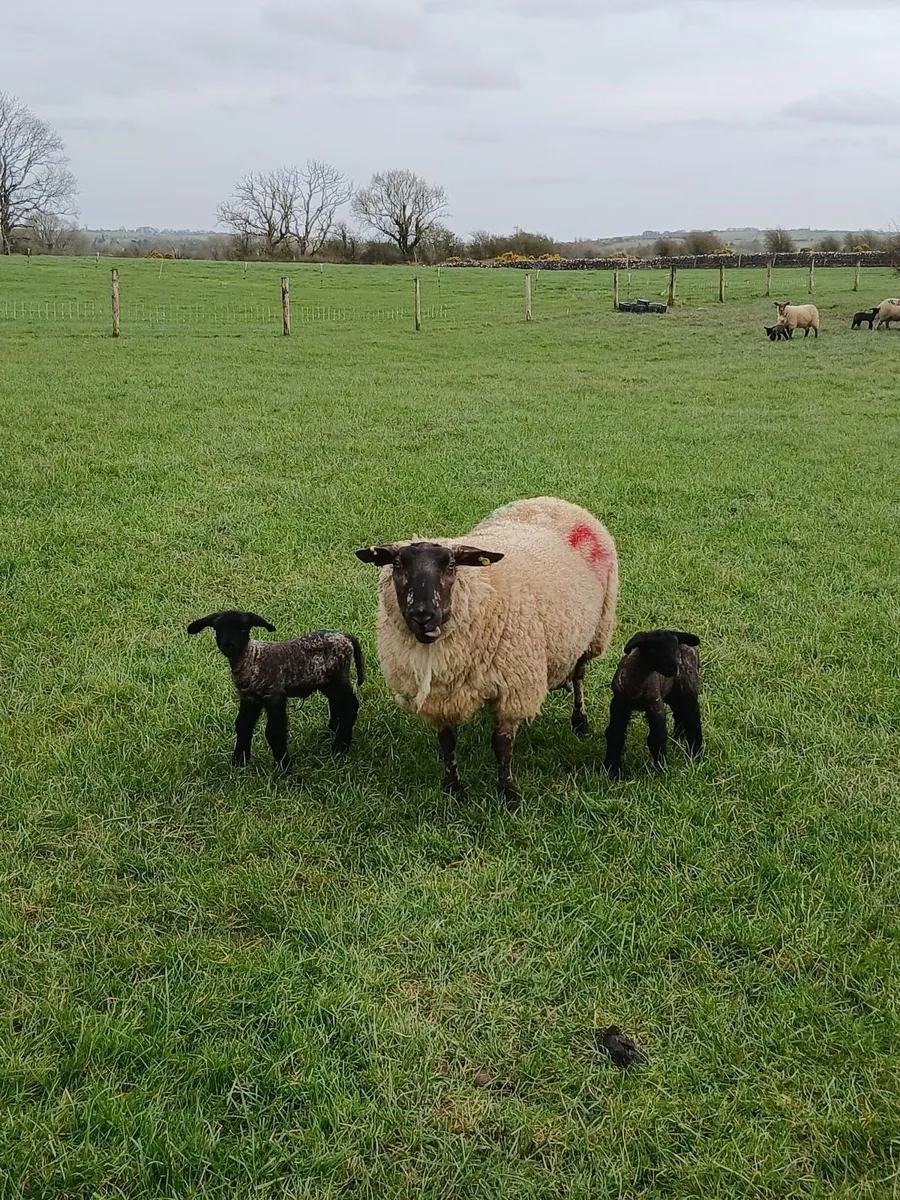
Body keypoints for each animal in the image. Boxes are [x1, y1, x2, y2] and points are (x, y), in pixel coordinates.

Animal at [187, 610, 364, 771]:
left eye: (243, 629)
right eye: (218, 629)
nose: (228, 646)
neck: (252, 658)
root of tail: (347, 637)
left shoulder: (274, 695)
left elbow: (274, 732)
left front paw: (283, 768)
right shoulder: (249, 698)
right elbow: (242, 725)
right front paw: (238, 763)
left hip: (337, 677)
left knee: (350, 705)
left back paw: (339, 748)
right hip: (327, 681)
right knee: (337, 704)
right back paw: (332, 735)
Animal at [356, 497, 618, 809]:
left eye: (452, 566)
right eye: (396, 564)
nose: (423, 615)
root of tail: (552, 500)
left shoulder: (514, 687)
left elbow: (502, 744)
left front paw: (507, 793)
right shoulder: (442, 695)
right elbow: (447, 742)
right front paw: (453, 788)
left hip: (594, 631)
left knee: (579, 674)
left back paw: (580, 720)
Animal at [604, 629, 702, 779]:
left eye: (675, 648)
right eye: (655, 648)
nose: (674, 668)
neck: (637, 685)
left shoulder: (655, 704)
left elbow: (657, 738)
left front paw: (660, 769)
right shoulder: (619, 704)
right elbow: (614, 735)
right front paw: (613, 771)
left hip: (688, 687)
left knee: (693, 718)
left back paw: (695, 755)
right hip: (672, 692)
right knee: (679, 713)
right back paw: (678, 739)